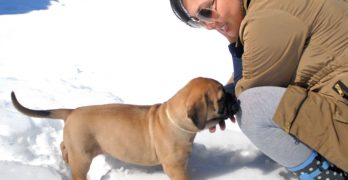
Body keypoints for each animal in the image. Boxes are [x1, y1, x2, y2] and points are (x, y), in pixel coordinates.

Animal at [10, 77, 234, 180]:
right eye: (222, 99)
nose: (235, 98)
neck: (176, 118)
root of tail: (72, 111)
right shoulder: (175, 166)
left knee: (63, 145)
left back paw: (64, 156)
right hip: (82, 155)